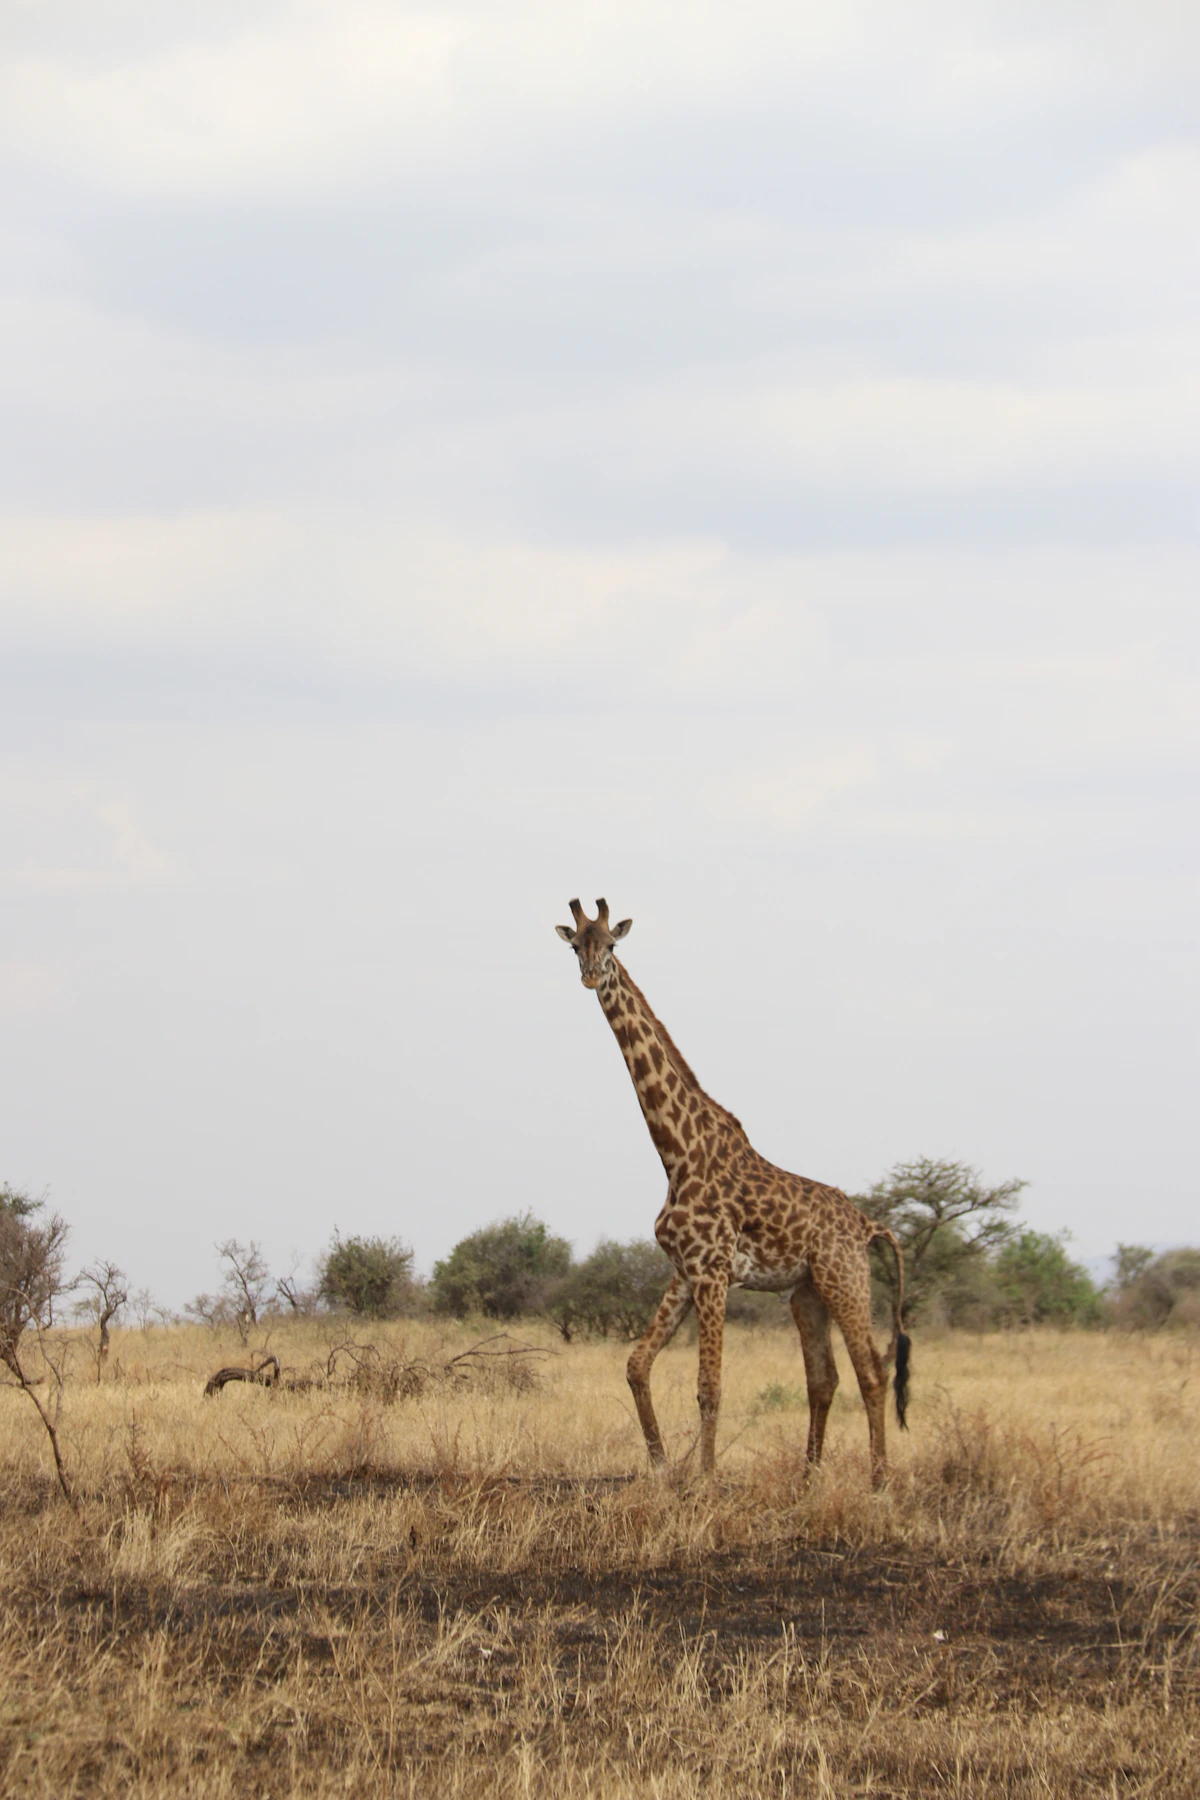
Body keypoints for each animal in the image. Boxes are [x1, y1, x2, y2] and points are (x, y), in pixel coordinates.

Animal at [555, 898, 910, 1486]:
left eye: (611, 944)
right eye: (574, 946)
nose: (590, 975)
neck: (677, 1152)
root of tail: (867, 1225)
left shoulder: (714, 1271)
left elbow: (709, 1386)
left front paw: (706, 1478)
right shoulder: (683, 1270)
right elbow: (636, 1365)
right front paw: (661, 1467)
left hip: (846, 1282)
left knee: (873, 1373)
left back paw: (880, 1481)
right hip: (807, 1293)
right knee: (826, 1379)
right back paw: (808, 1478)